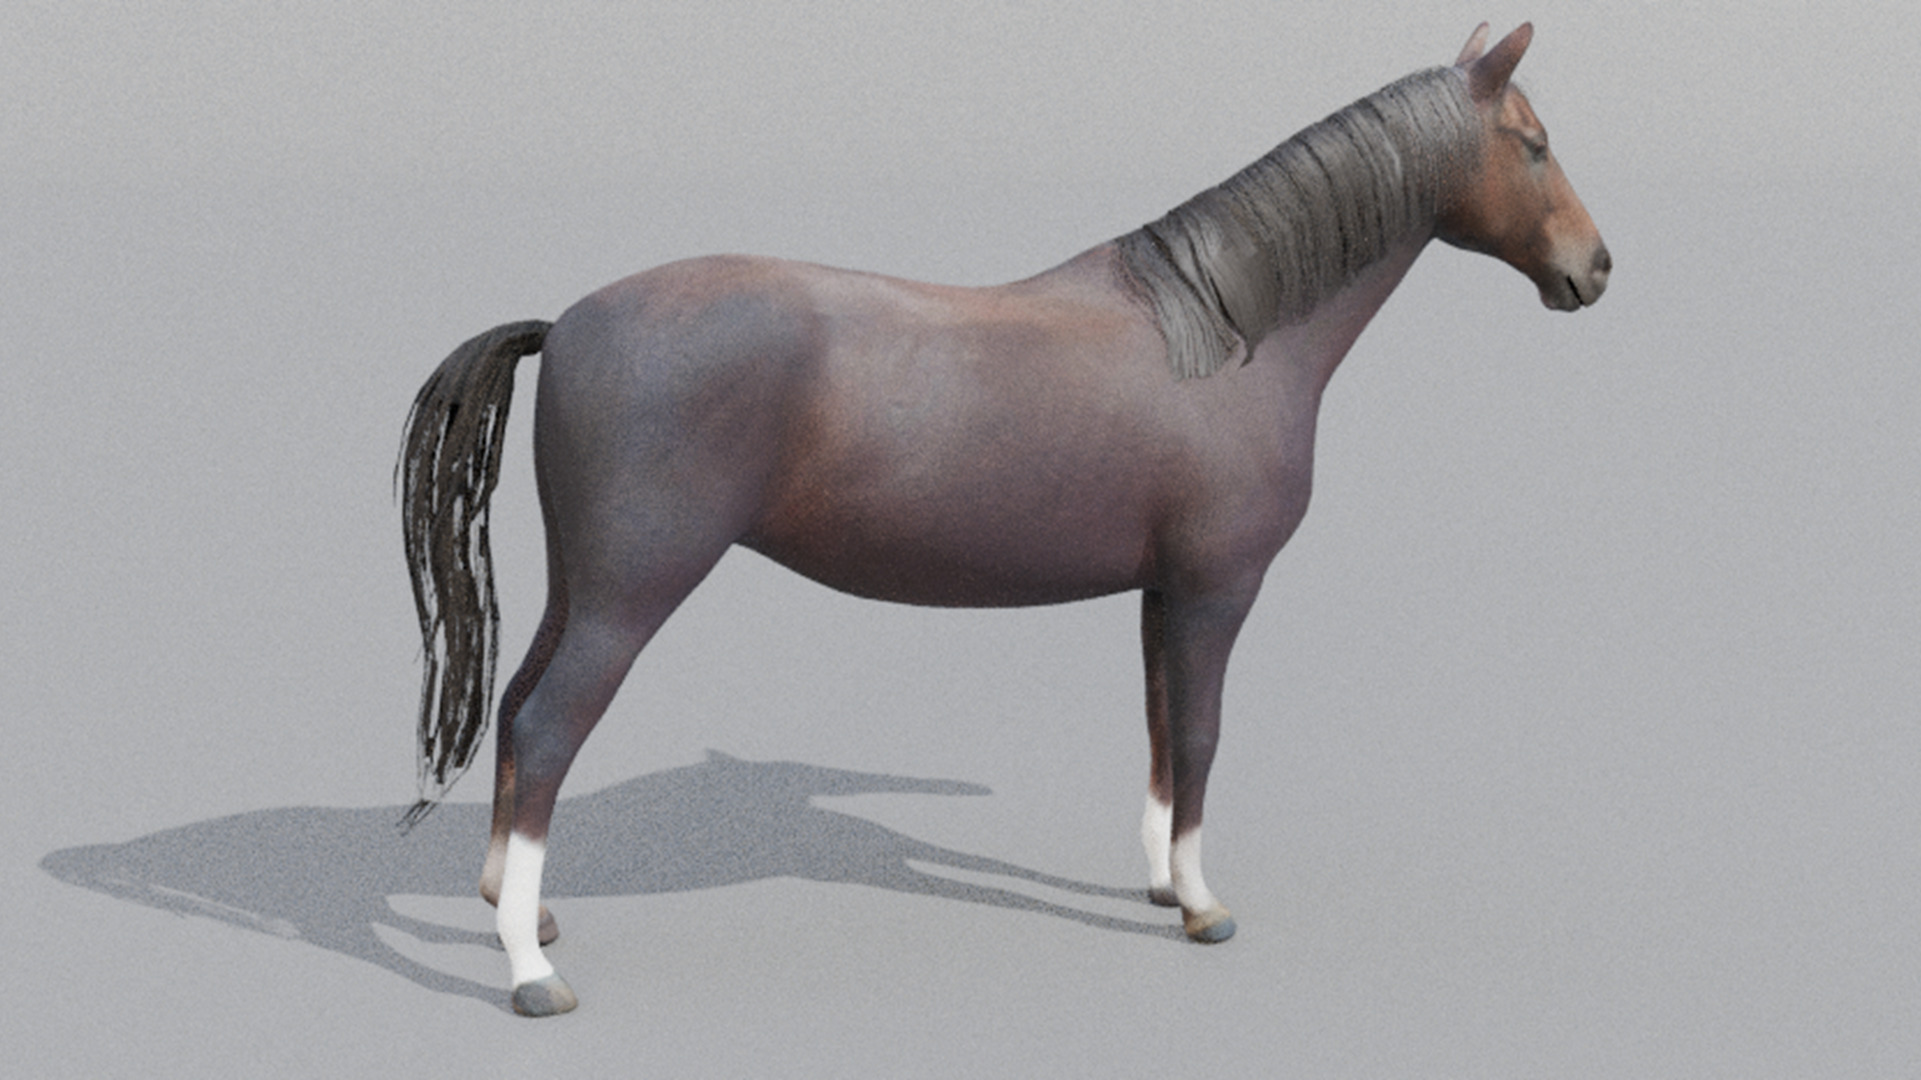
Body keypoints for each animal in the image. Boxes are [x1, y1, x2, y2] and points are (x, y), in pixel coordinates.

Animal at [399, 23, 1609, 1016]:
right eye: (1533, 143)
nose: (1593, 269)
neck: (1223, 336)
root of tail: (570, 323)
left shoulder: (1161, 592)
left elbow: (1162, 729)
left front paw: (1160, 885)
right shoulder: (1217, 588)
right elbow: (1203, 734)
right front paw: (1204, 906)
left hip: (581, 585)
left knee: (516, 710)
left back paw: (521, 908)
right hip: (632, 596)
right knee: (550, 728)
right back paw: (532, 975)